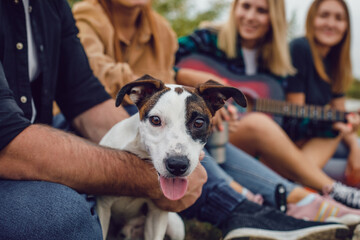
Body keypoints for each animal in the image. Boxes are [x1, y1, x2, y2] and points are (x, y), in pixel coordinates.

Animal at [97, 74, 246, 239]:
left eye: (198, 122)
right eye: (155, 120)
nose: (177, 165)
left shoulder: (158, 214)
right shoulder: (103, 208)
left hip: (176, 226)